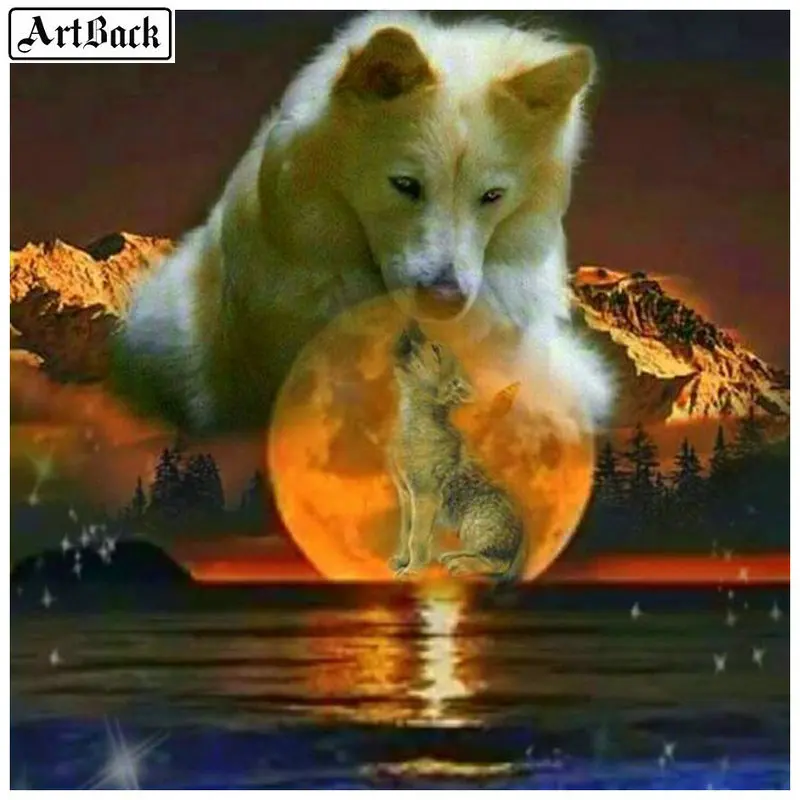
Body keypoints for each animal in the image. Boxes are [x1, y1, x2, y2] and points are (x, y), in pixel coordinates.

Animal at [388, 321, 526, 580]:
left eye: (435, 349)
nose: (412, 321)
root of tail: (523, 538)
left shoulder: (424, 497)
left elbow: (416, 538)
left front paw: (413, 570)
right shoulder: (405, 496)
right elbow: (404, 534)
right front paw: (402, 560)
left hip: (474, 522)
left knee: (496, 563)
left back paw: (462, 565)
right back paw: (453, 557)